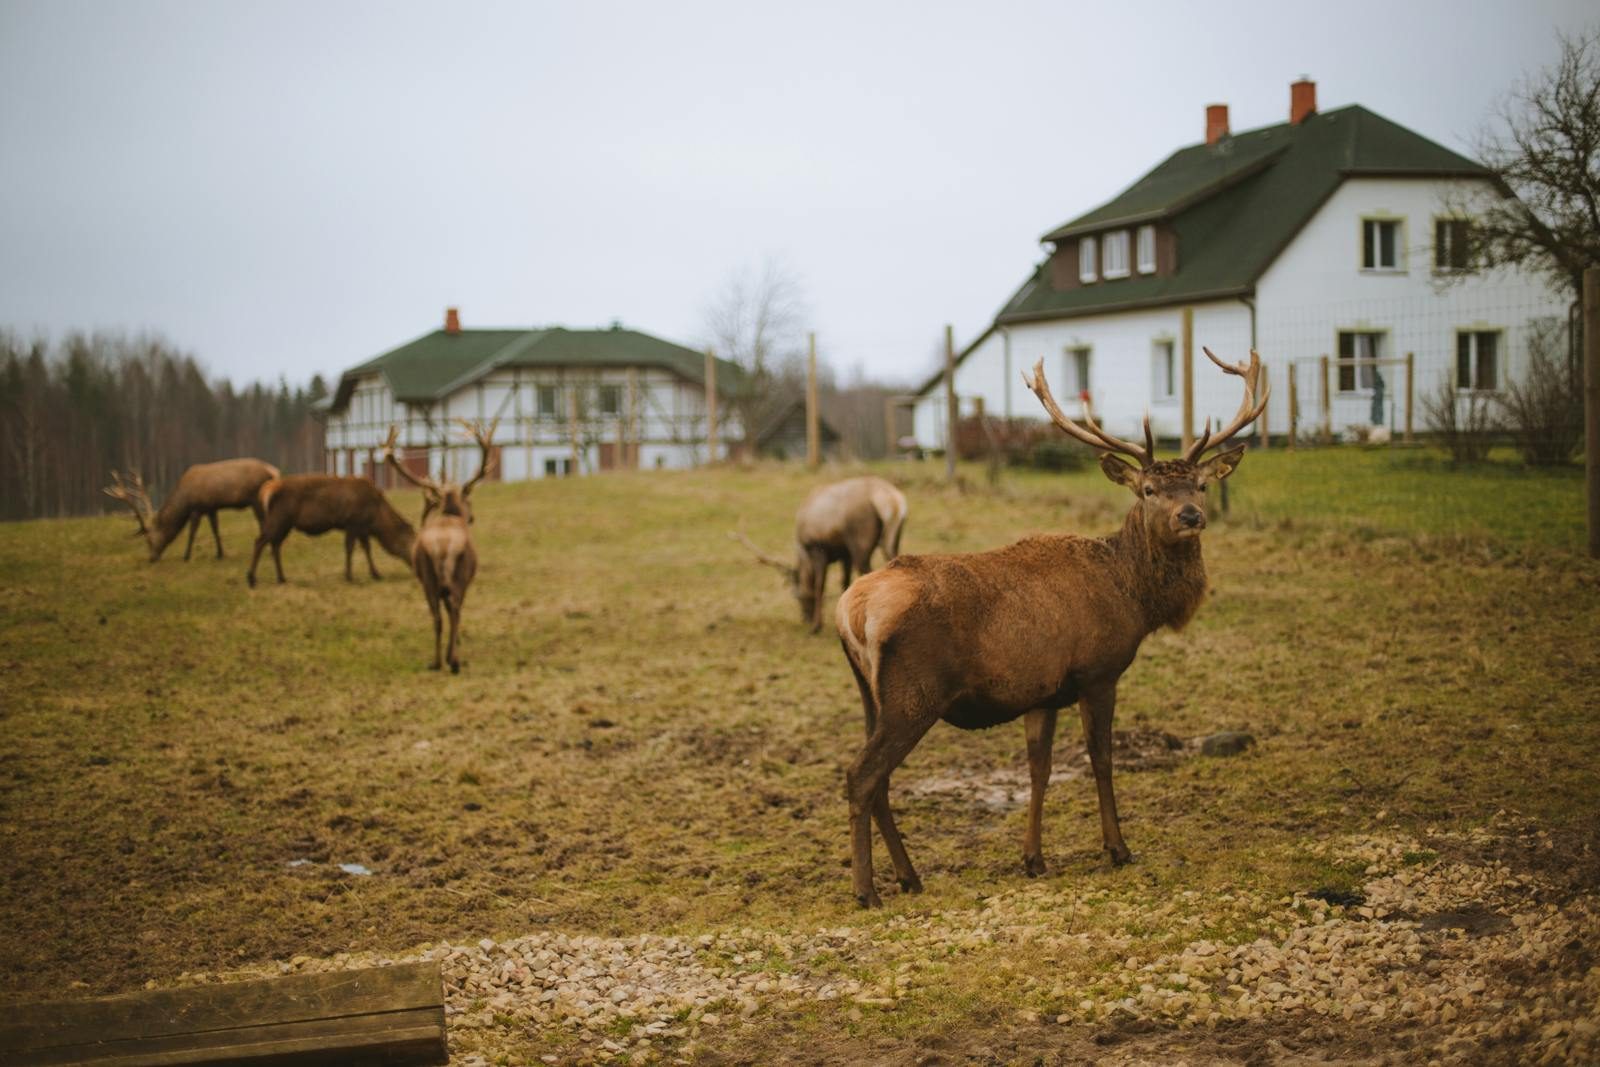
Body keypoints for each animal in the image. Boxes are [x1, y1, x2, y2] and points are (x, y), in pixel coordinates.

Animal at [103, 460, 280, 562]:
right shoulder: (211, 507)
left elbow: (192, 532)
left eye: (150, 540)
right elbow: (215, 530)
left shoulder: (197, 508)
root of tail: (275, 472)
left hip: (256, 499)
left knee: (264, 522)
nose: (152, 558)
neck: (185, 500)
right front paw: (220, 554)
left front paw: (186, 556)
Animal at [246, 472, 415, 588]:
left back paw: (281, 578)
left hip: (285, 524)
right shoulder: (353, 522)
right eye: (409, 541)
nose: (415, 563)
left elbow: (366, 548)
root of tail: (267, 489)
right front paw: (349, 576)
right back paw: (251, 578)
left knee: (275, 545)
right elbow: (350, 548)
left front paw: (375, 574)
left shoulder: (362, 528)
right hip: (280, 518)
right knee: (260, 541)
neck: (376, 518)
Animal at [381, 419, 497, 673]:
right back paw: (453, 661)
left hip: (427, 578)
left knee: (436, 617)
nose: (472, 517)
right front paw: (455, 648)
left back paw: (436, 661)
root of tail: (442, 545)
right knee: (454, 610)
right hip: (459, 576)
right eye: (468, 498)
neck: (450, 515)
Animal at [733, 475, 908, 633]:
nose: (805, 617)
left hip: (860, 542)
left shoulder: (818, 549)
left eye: (797, 596)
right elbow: (845, 583)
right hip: (891, 541)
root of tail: (893, 502)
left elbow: (819, 586)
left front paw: (816, 626)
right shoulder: (845, 554)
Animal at [834, 348, 1267, 907]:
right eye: (1149, 490)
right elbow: (1100, 758)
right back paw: (867, 890)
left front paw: (1033, 859)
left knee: (880, 778)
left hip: (872, 695)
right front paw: (1118, 848)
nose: (1191, 516)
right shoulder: (1098, 671)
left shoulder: (1040, 692)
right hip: (915, 692)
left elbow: (1039, 770)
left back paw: (910, 876)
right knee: (862, 775)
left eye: (1200, 484)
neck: (1134, 595)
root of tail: (852, 609)